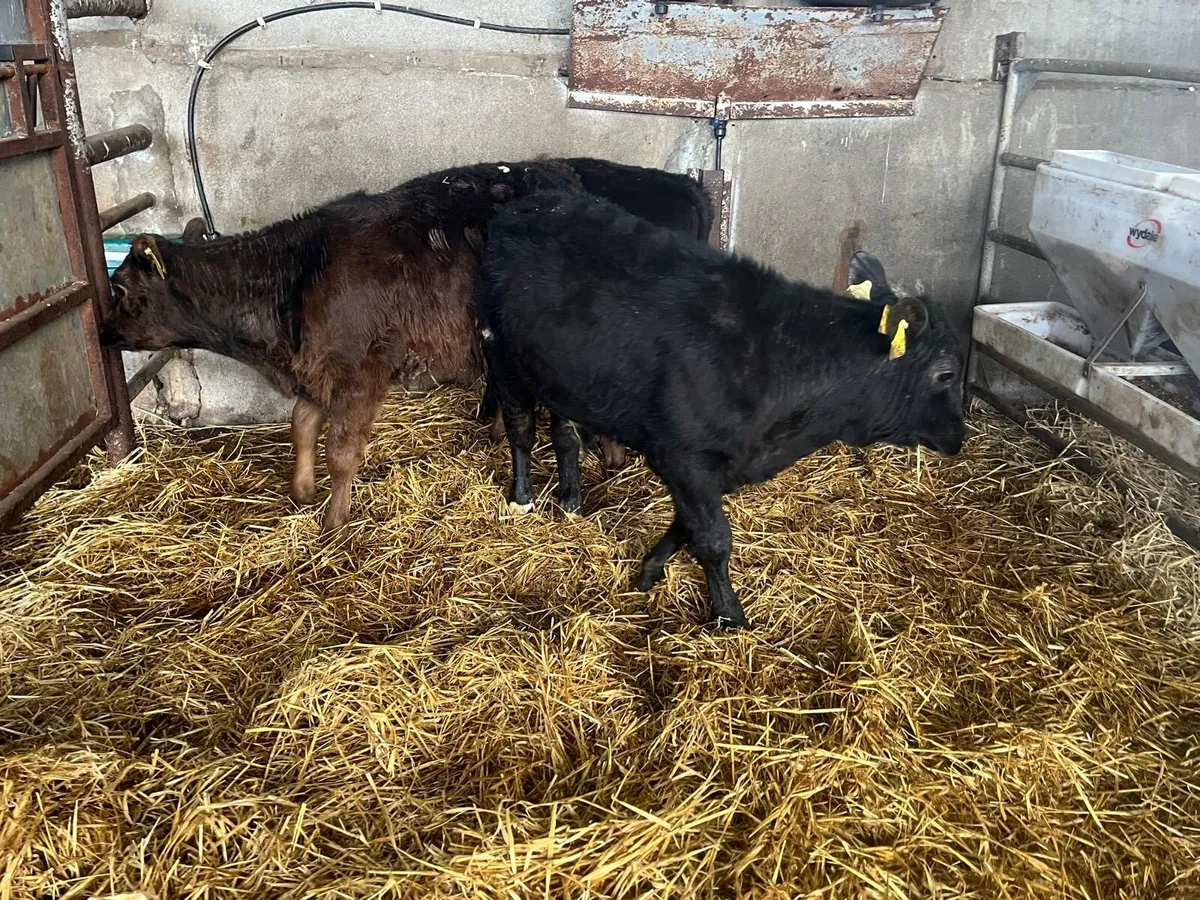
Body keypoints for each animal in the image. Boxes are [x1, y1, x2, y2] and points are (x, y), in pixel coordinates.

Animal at [101, 159, 712, 537]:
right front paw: (301, 490)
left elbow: (340, 449)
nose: (102, 334)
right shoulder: (320, 366)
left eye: (123, 290)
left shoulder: (359, 370)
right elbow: (302, 423)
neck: (299, 275)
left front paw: (334, 521)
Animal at [476, 191, 966, 628]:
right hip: (500, 353)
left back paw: (571, 500)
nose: (958, 436)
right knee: (521, 428)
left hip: (560, 373)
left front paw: (649, 571)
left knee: (565, 434)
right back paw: (523, 498)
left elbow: (687, 525)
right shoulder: (683, 458)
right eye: (946, 374)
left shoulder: (715, 467)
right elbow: (713, 539)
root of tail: (532, 203)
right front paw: (729, 615)